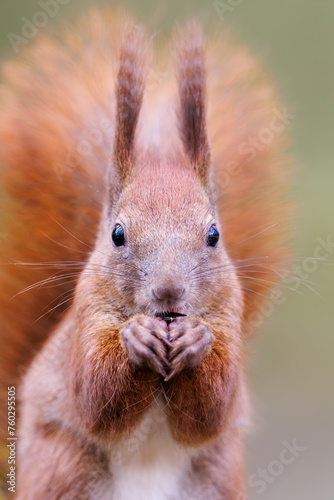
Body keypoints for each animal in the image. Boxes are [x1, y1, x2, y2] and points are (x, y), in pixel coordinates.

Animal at [0, 7, 290, 500]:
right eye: (118, 234)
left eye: (214, 235)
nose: (169, 292)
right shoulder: (87, 315)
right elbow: (94, 397)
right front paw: (135, 339)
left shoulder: (229, 313)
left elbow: (212, 410)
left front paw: (197, 340)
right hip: (64, 470)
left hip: (217, 476)